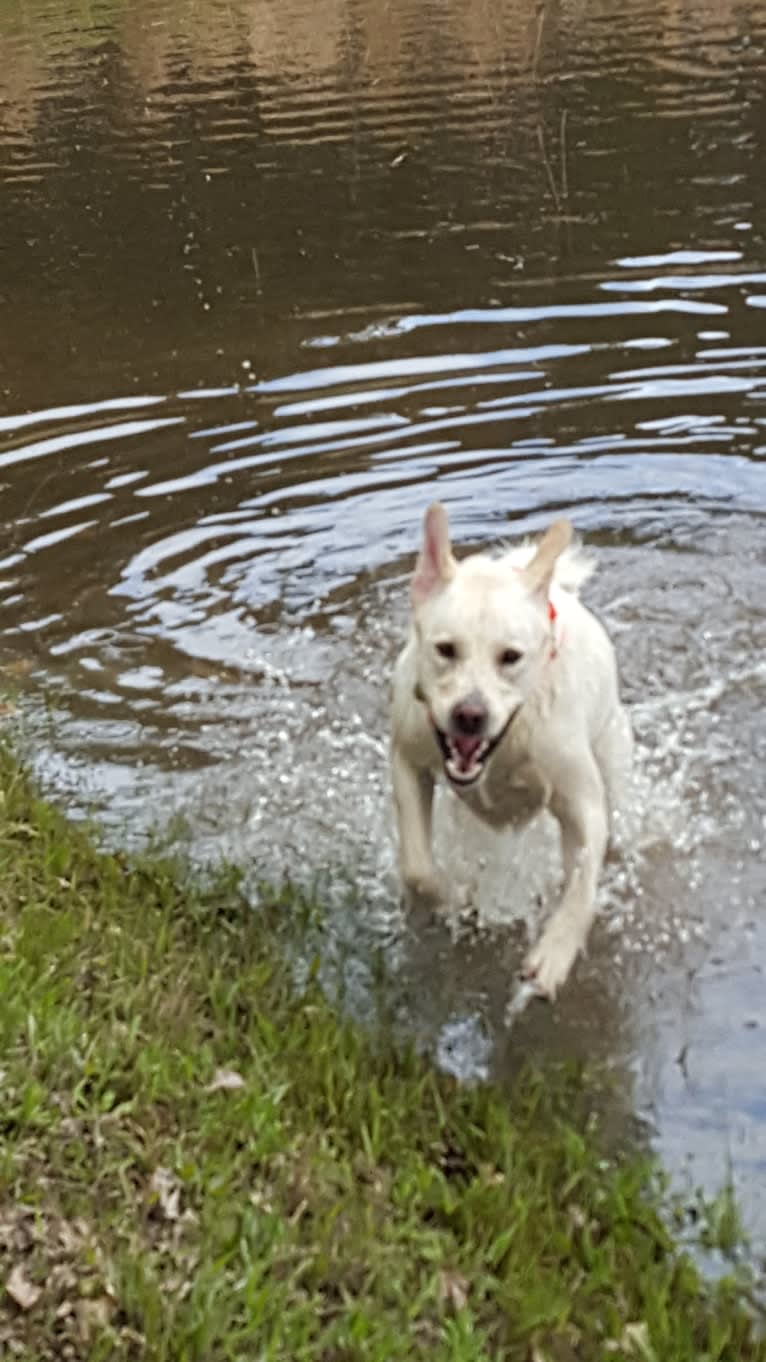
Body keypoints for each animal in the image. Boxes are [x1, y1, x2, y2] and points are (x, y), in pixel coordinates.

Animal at [389, 503, 629, 1002]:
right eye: (445, 649)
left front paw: (554, 954)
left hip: (613, 750)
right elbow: (418, 867)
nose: (470, 715)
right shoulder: (407, 757)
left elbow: (582, 884)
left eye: (511, 657)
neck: (509, 740)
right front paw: (452, 897)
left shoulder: (582, 801)